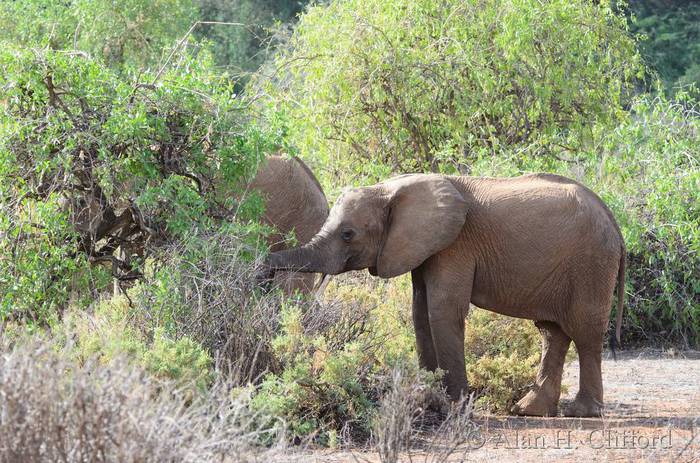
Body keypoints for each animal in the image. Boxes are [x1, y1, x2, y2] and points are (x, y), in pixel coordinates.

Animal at [261, 172, 625, 417]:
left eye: (348, 234)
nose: (261, 272)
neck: (392, 188)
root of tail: (613, 218)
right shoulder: (424, 247)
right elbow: (420, 313)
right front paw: (428, 398)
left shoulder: (455, 245)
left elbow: (442, 310)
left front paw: (455, 408)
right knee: (552, 332)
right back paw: (528, 410)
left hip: (591, 263)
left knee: (585, 331)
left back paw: (582, 412)